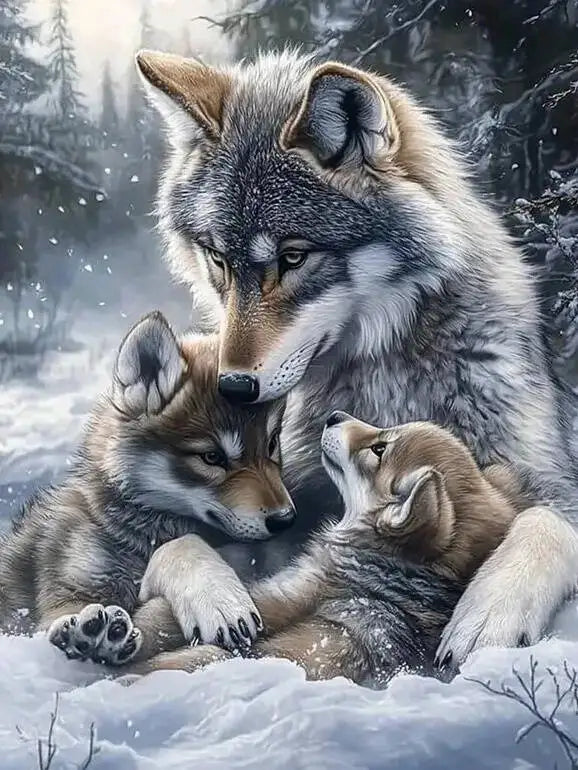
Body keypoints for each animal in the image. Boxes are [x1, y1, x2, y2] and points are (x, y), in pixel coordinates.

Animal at [0, 311, 294, 665]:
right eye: (212, 457)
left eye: (271, 444)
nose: (286, 520)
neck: (138, 537)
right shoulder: (62, 600)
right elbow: (183, 545)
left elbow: (181, 546)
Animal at [135, 48, 578, 668]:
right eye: (218, 260)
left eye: (294, 258)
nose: (234, 388)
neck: (382, 383)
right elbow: (183, 540)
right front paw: (215, 599)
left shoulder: (543, 476)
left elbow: (543, 521)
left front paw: (487, 616)